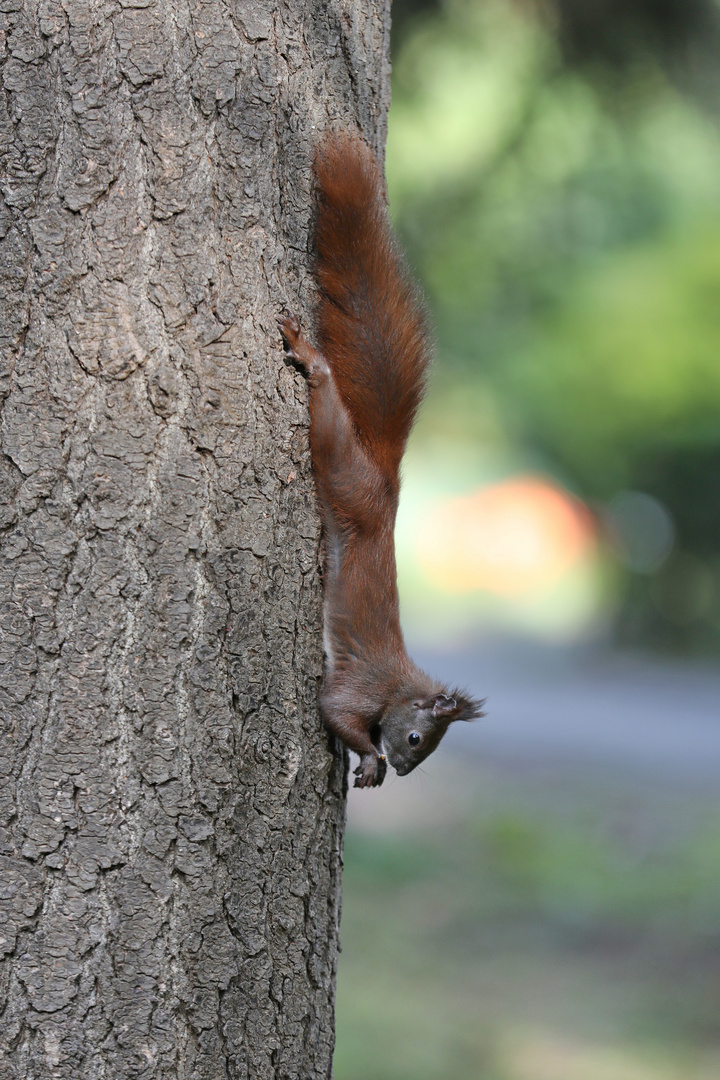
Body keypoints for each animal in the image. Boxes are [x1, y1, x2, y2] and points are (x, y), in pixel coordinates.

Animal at [276, 137, 483, 794]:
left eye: (430, 751)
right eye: (417, 739)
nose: (408, 768)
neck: (398, 689)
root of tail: (388, 486)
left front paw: (375, 767)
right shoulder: (358, 688)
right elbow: (335, 712)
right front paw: (370, 759)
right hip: (347, 475)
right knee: (329, 421)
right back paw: (312, 361)